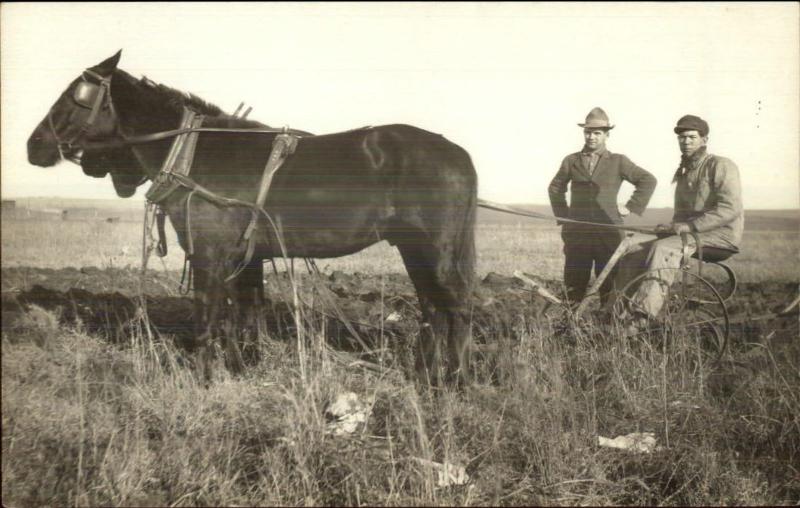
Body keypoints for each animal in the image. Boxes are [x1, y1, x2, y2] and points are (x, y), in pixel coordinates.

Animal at [26, 50, 476, 384]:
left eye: (77, 97)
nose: (34, 145)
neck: (194, 152)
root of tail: (458, 153)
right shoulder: (245, 256)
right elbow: (243, 314)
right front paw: (242, 366)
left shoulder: (209, 254)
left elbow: (210, 314)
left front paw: (205, 378)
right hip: (412, 249)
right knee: (433, 308)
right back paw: (424, 375)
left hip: (433, 250)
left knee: (456, 305)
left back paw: (455, 379)